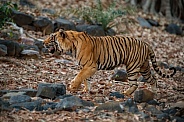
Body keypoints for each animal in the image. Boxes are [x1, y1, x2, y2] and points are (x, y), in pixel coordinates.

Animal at [43, 28, 177, 96]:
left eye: (51, 37)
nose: (43, 42)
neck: (71, 47)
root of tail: (146, 43)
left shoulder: (90, 66)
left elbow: (80, 76)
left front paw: (73, 86)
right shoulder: (87, 67)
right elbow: (86, 79)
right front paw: (86, 90)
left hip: (132, 67)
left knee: (135, 84)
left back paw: (126, 93)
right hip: (144, 67)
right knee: (153, 79)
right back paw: (154, 93)